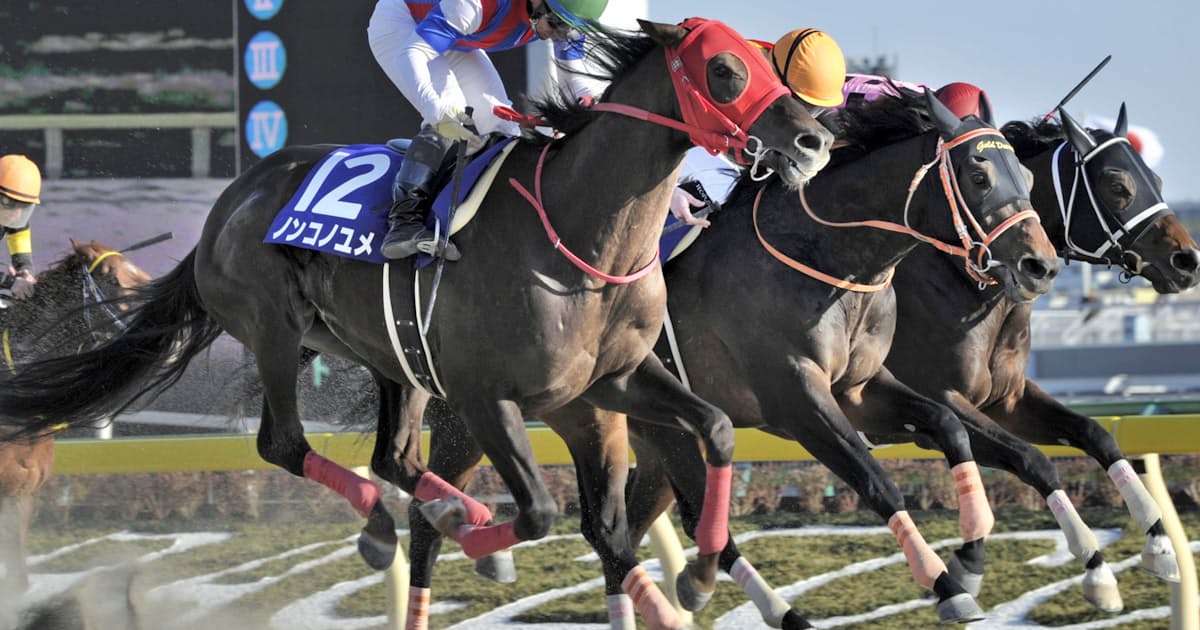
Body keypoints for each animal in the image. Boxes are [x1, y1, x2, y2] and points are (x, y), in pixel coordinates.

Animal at [405, 90, 1061, 627]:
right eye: (978, 174)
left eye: (1025, 177)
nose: (1041, 264)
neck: (826, 256)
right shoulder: (796, 399)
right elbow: (876, 480)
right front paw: (948, 583)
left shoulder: (861, 390)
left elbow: (950, 426)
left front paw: (971, 556)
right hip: (478, 415)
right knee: (426, 517)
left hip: (640, 429)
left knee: (627, 528)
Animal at [878, 104, 1199, 611]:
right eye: (1117, 185)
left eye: (1158, 180)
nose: (1188, 259)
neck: (961, 281)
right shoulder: (938, 402)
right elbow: (1034, 460)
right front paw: (1095, 569)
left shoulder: (1007, 401)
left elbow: (1095, 435)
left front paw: (1159, 543)